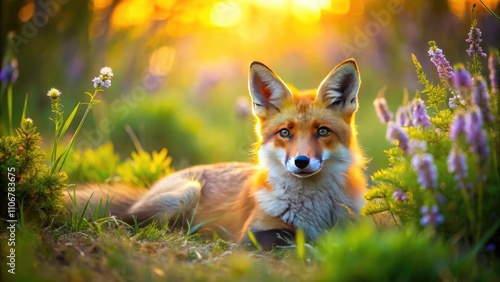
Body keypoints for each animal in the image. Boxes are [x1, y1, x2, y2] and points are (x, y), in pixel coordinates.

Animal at [69, 59, 368, 249]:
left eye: (322, 131)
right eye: (285, 133)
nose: (301, 161)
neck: (316, 210)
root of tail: (148, 188)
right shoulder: (252, 234)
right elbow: (299, 237)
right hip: (186, 192)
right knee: (125, 221)